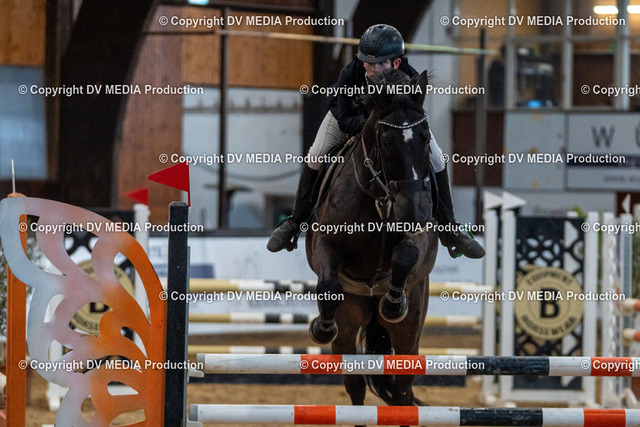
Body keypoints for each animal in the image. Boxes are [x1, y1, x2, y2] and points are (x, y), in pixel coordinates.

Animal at [305, 68, 438, 423]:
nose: (413, 209)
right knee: (355, 386)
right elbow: (328, 285)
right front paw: (321, 326)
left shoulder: (417, 238)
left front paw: (392, 302)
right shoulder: (325, 244)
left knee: (404, 392)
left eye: (425, 137)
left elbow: (406, 254)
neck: (379, 196)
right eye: (386, 140)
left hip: (410, 332)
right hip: (351, 325)